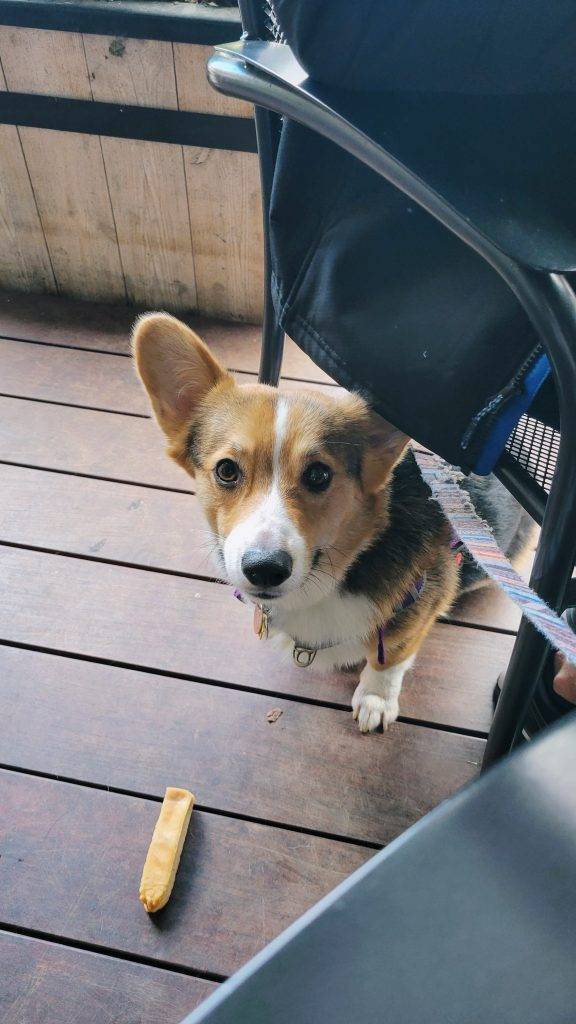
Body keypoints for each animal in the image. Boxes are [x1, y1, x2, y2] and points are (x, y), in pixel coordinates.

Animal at [132, 315, 532, 733]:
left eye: (319, 475)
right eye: (226, 470)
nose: (264, 569)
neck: (337, 572)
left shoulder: (420, 602)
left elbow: (390, 657)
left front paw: (375, 700)